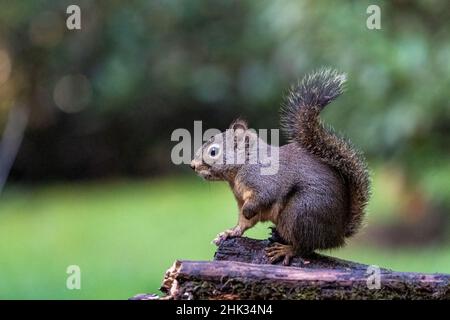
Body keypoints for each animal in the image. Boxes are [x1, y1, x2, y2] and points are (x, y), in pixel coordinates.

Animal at [190, 69, 370, 266]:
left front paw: (245, 213)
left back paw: (286, 249)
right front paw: (230, 232)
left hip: (299, 213)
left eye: (213, 152)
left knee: (305, 247)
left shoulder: (263, 181)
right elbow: (244, 223)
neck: (243, 165)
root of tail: (338, 234)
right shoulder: (241, 199)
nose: (192, 165)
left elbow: (262, 198)